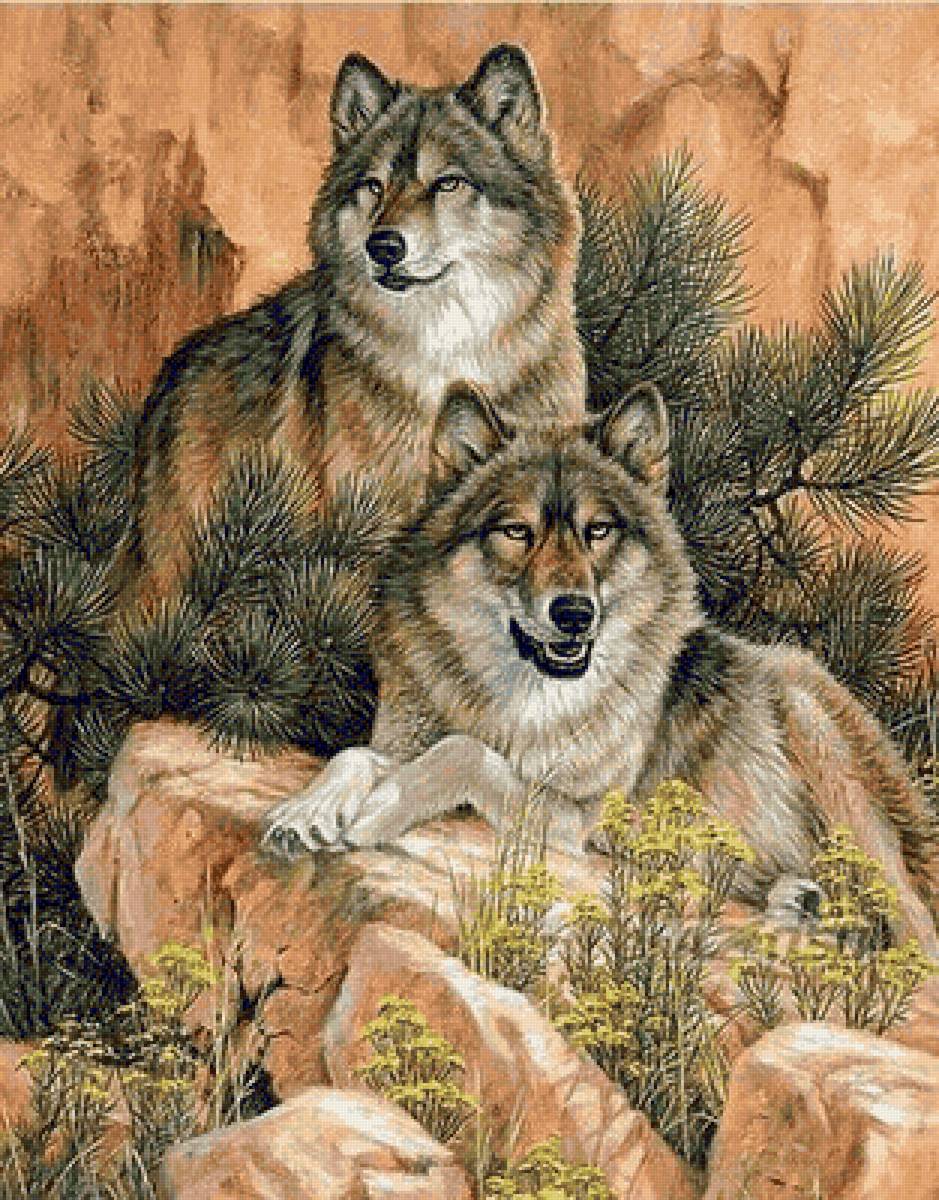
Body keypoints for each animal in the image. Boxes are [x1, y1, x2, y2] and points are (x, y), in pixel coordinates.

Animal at [124, 43, 585, 605]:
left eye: (448, 183)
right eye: (373, 187)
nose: (382, 246)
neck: (444, 357)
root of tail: (170, 373)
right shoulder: (357, 545)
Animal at [263, 383, 939, 954]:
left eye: (599, 531)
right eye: (517, 531)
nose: (573, 612)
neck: (520, 702)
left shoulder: (588, 817)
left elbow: (460, 752)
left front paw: (377, 810)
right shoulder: (406, 741)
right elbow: (358, 756)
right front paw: (305, 812)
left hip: (816, 734)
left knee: (910, 926)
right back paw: (795, 900)